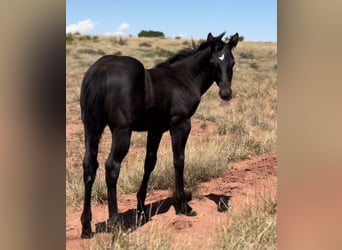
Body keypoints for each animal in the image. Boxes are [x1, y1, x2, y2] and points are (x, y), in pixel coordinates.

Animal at [79, 32, 239, 237]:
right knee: (112, 166)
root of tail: (101, 69)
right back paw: (115, 222)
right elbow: (179, 161)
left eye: (232, 62)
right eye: (213, 62)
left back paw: (86, 226)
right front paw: (184, 206)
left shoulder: (155, 129)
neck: (183, 78)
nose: (226, 93)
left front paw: (141, 206)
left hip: (91, 128)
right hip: (121, 131)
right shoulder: (180, 124)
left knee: (89, 166)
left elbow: (149, 163)